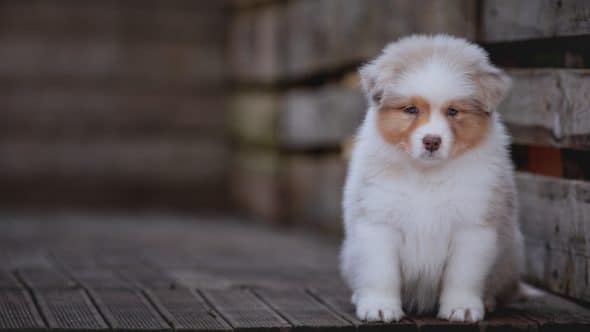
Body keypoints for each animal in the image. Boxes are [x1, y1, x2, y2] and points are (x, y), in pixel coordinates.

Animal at [340, 35, 524, 322]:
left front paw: (462, 308)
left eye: (453, 112)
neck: (426, 174)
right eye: (411, 109)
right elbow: (381, 272)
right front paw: (380, 307)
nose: (432, 141)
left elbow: (463, 275)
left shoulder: (472, 226)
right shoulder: (378, 221)